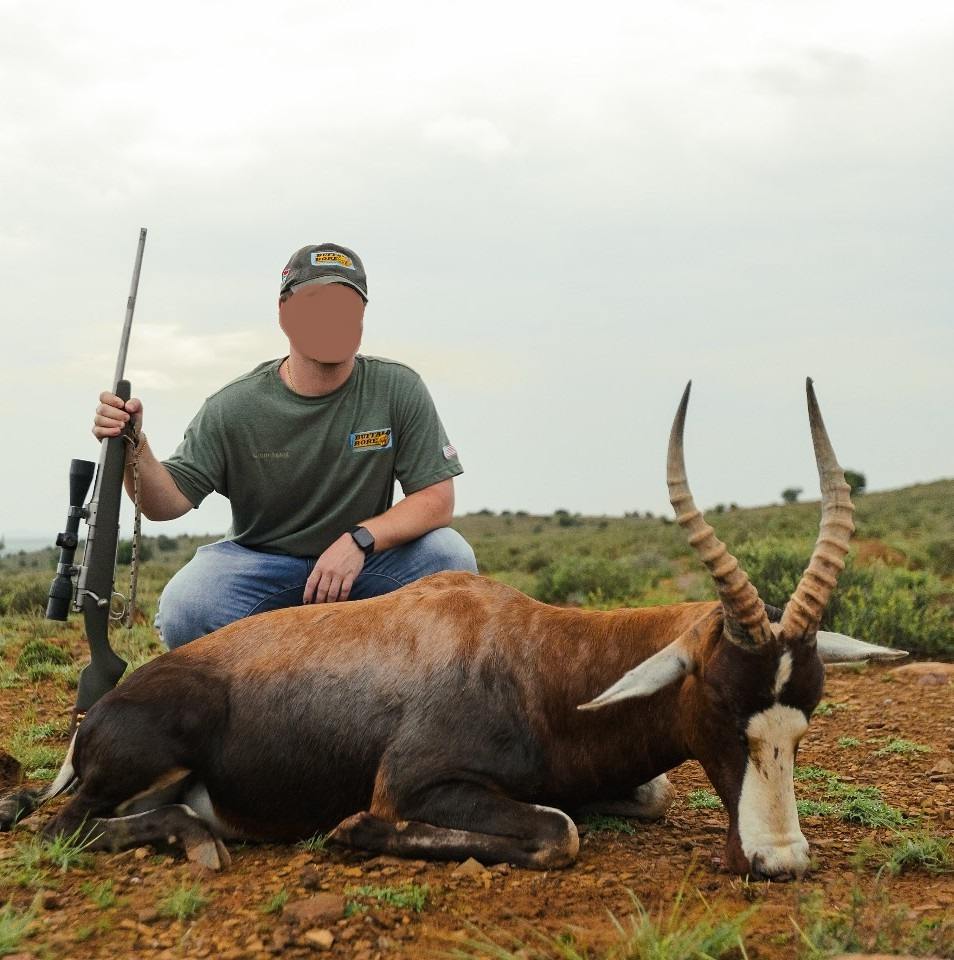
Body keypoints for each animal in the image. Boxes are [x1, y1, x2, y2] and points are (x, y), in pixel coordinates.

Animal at [0, 380, 903, 879]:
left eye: (806, 714)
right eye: (719, 703)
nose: (779, 860)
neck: (534, 657)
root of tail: (94, 718)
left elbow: (644, 797)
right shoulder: (417, 785)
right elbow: (558, 831)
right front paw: (352, 830)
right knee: (57, 827)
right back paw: (198, 840)